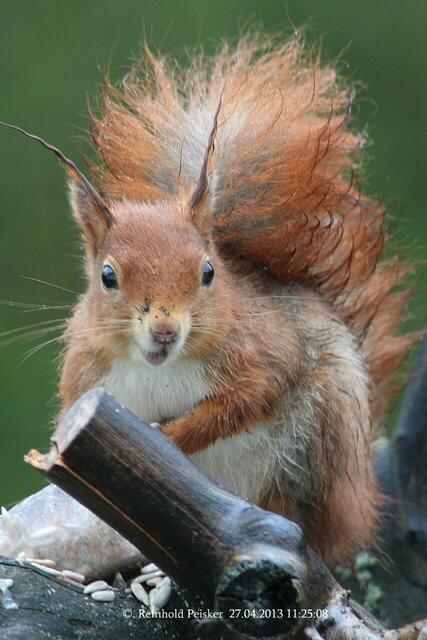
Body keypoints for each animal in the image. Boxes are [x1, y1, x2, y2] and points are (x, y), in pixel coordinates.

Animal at [3, 35, 417, 564]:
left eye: (207, 272)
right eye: (107, 277)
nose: (165, 329)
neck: (159, 368)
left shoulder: (266, 354)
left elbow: (249, 398)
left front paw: (174, 435)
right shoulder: (85, 379)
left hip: (312, 450)